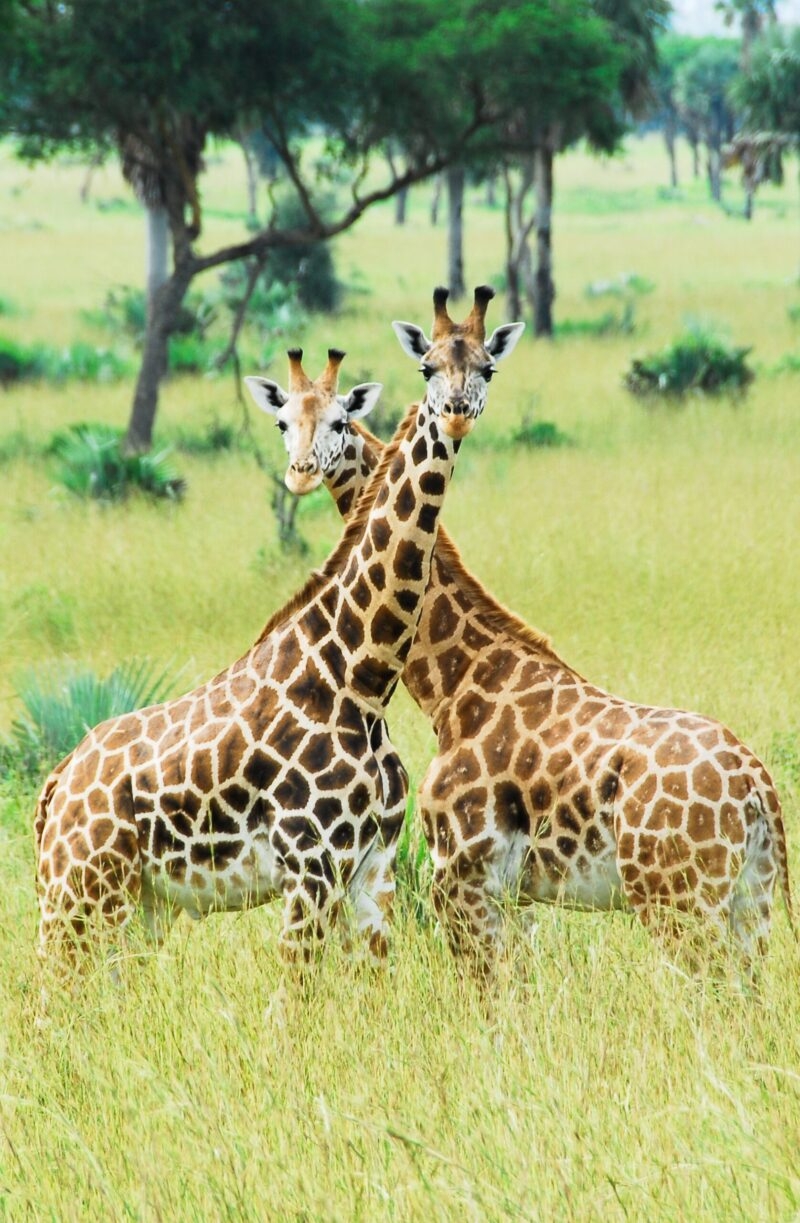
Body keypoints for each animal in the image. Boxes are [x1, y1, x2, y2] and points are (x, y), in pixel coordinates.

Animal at [33, 296, 503, 976]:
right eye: (427, 367)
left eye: (488, 366)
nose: (457, 414)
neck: (362, 675)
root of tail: (55, 784)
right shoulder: (311, 867)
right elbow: (295, 993)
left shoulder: (373, 870)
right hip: (76, 887)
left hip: (138, 902)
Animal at [247, 288, 792, 975]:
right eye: (283, 420)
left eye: (339, 421)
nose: (299, 472)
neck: (455, 689)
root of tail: (757, 785)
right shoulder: (518, 897)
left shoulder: (458, 877)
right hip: (751, 902)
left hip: (679, 899)